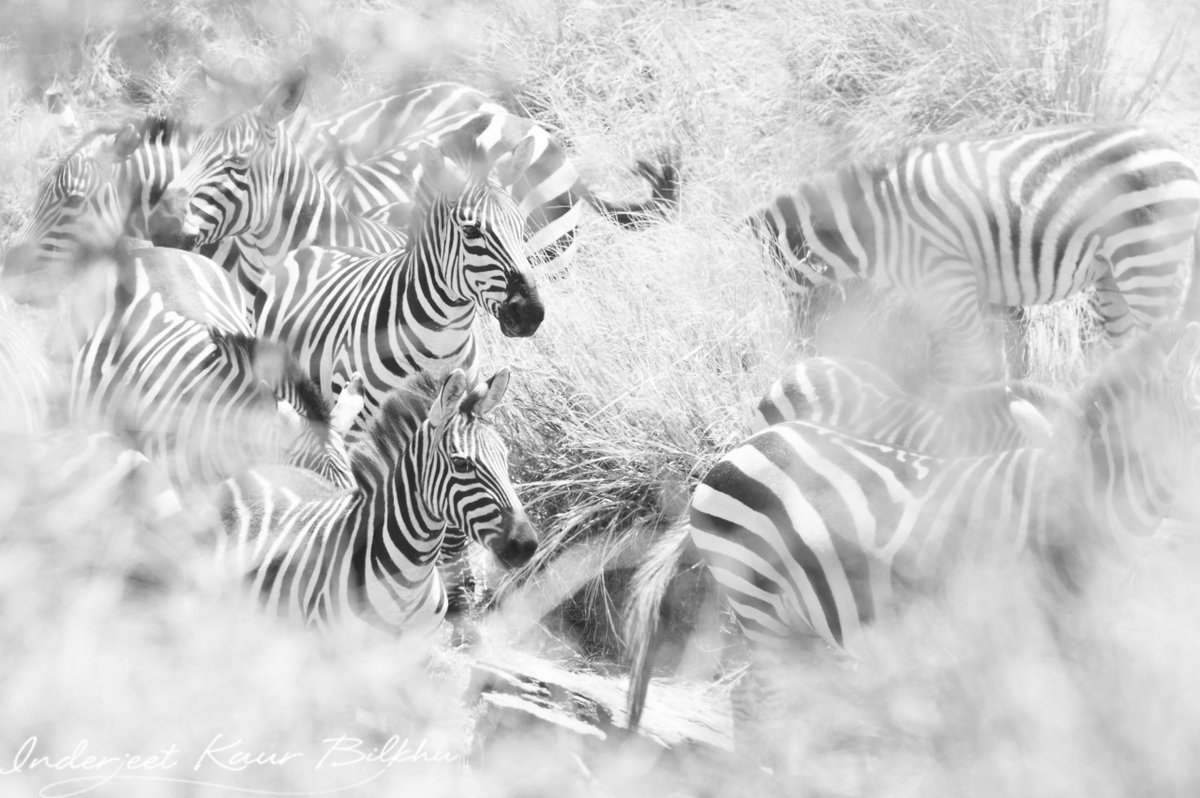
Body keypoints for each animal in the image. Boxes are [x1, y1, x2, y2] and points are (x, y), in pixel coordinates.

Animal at [748, 125, 1200, 384]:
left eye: (779, 285)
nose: (797, 353)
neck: (879, 227)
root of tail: (1179, 154)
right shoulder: (974, 294)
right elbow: (993, 362)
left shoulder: (953, 285)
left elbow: (970, 364)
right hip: (1113, 276)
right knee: (1126, 346)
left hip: (1146, 264)